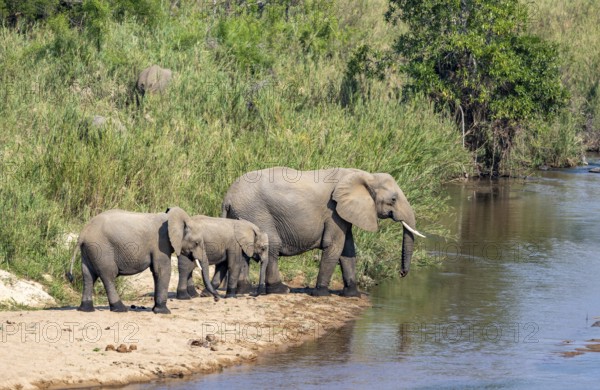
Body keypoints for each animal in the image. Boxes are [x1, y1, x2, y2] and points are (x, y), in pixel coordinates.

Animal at [68, 207, 218, 314]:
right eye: (197, 243)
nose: (216, 298)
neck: (172, 218)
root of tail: (83, 233)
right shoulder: (160, 243)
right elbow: (162, 270)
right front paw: (164, 312)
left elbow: (157, 272)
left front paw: (157, 309)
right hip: (102, 249)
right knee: (108, 275)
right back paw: (120, 309)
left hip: (89, 250)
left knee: (88, 275)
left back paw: (86, 309)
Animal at [221, 166, 426, 298]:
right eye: (393, 199)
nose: (402, 274)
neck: (365, 176)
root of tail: (227, 198)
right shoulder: (333, 211)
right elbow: (334, 246)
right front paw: (321, 293)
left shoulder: (343, 213)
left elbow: (348, 249)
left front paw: (353, 295)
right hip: (257, 212)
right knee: (272, 245)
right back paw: (281, 290)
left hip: (241, 215)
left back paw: (243, 291)